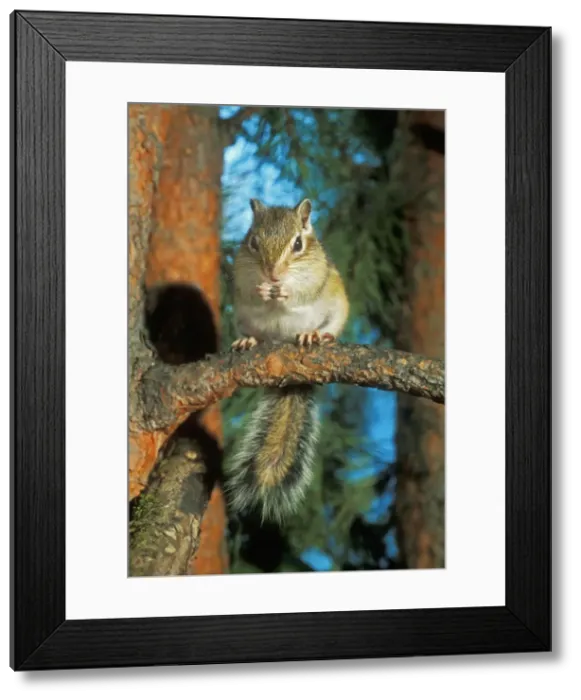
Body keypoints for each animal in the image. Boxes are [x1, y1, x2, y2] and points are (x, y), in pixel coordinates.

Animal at [225, 197, 349, 524]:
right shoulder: (241, 279)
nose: (273, 274)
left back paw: (315, 335)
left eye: (298, 244)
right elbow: (252, 293)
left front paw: (284, 290)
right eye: (253, 242)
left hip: (338, 305)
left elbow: (300, 293)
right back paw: (249, 341)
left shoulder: (316, 277)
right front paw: (263, 291)